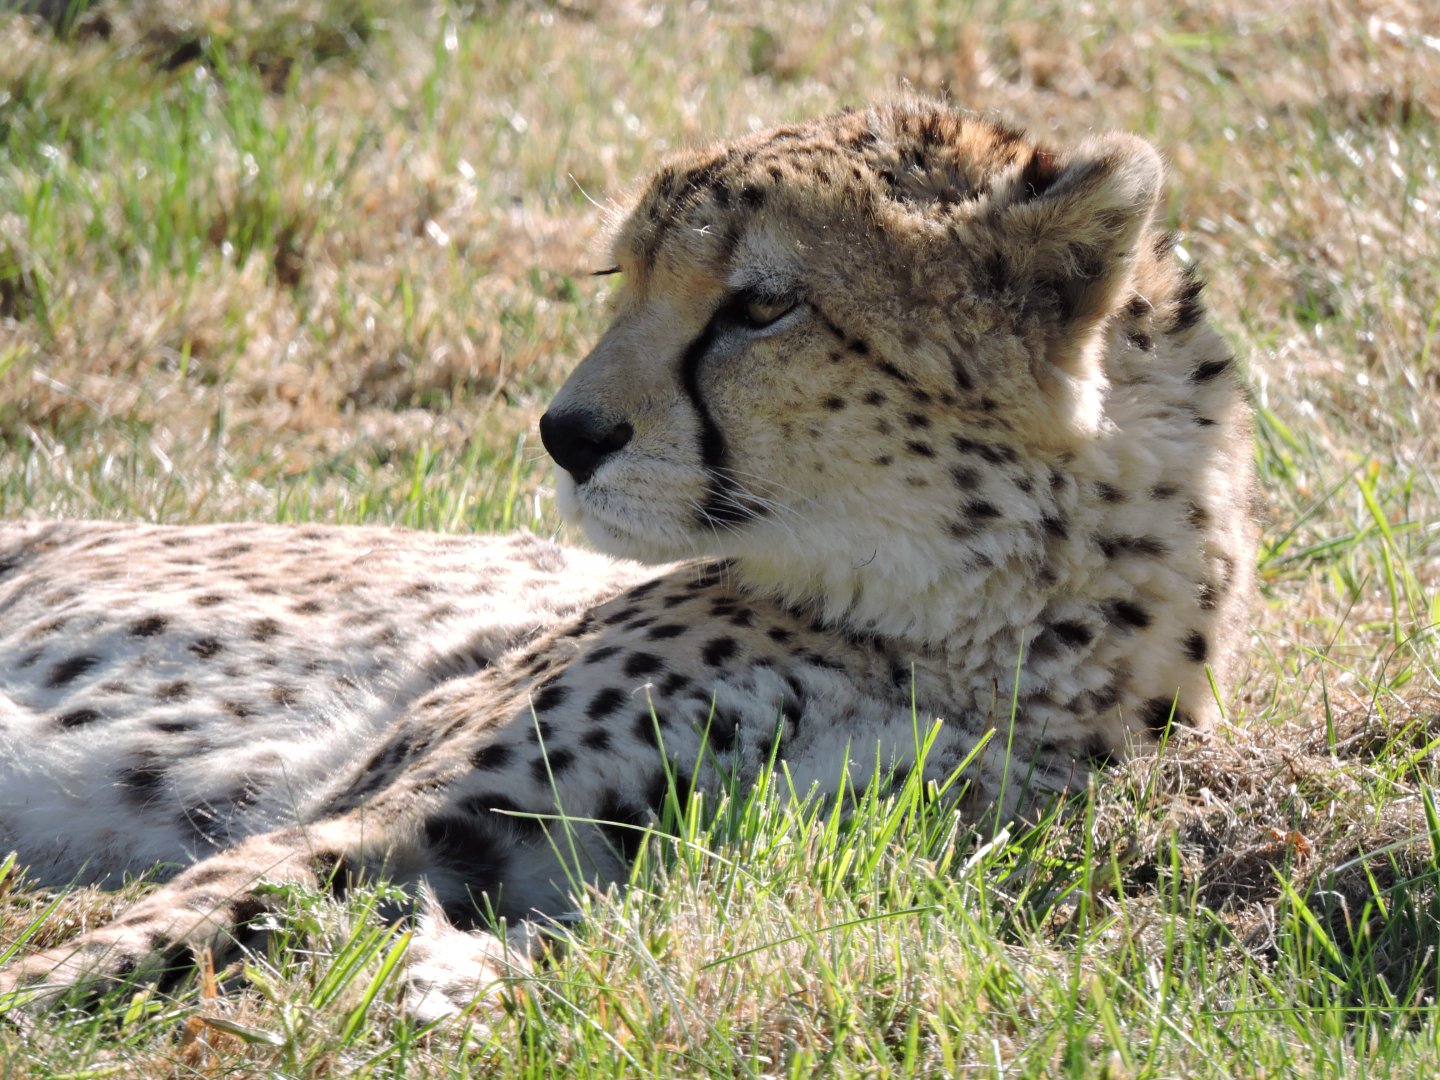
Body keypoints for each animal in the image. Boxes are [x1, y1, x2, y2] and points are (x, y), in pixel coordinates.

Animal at [0, 98, 1256, 1021]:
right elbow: (149, 935)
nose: (566, 432)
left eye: (762, 304)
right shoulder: (389, 813)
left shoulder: (734, 850)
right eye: (621, 280)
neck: (975, 626)